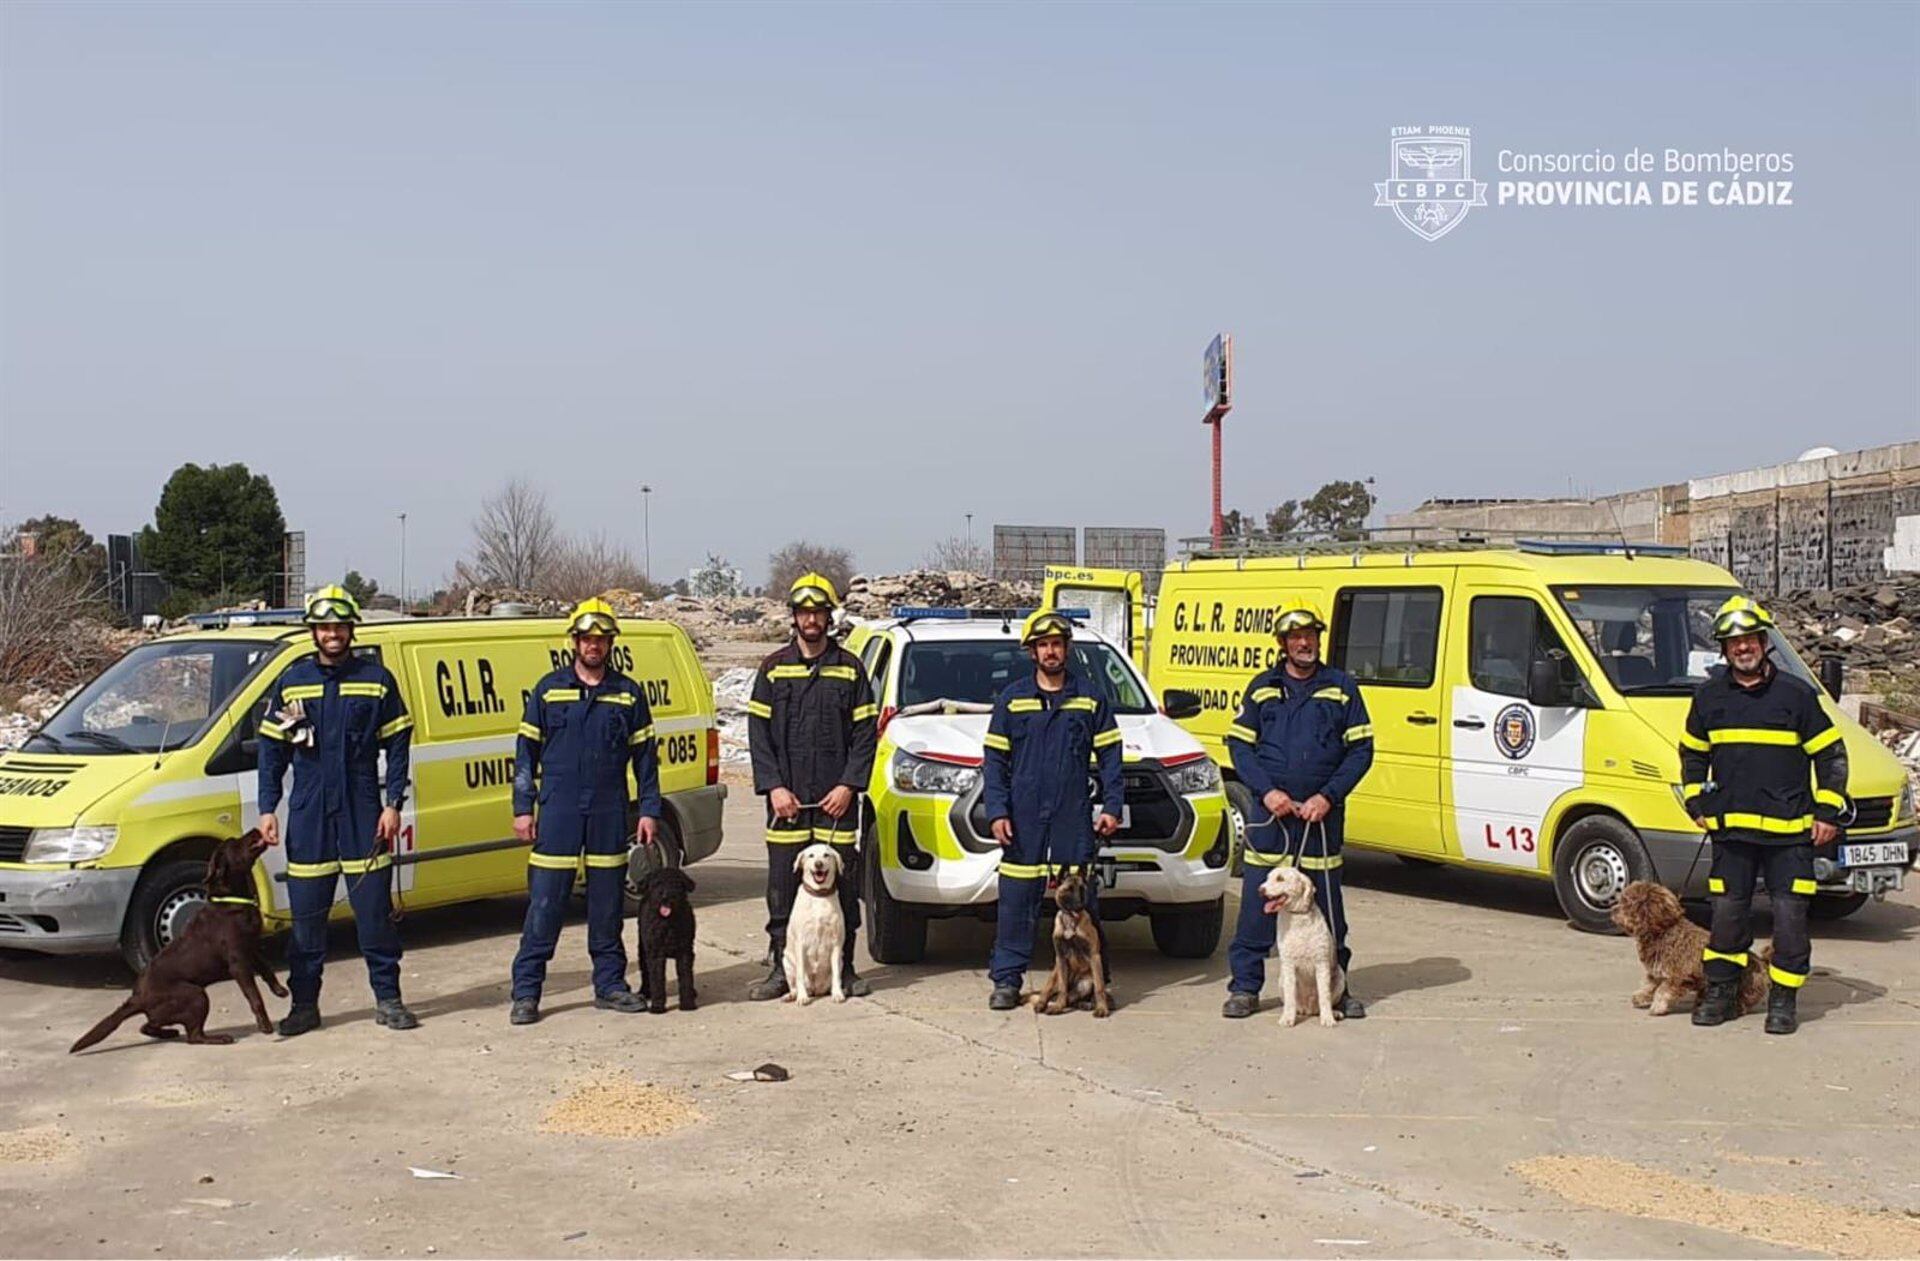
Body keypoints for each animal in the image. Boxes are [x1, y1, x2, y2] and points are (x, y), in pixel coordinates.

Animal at [637, 867, 698, 1013]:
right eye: (657, 883)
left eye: (675, 884)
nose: (665, 896)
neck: (668, 922)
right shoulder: (655, 955)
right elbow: (657, 980)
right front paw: (657, 1006)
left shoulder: (685, 953)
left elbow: (686, 977)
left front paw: (687, 1003)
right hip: (643, 949)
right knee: (645, 971)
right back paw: (645, 991)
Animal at [1605, 879, 1766, 1021]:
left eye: (1628, 902)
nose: (1612, 910)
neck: (1663, 933)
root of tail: (1761, 965)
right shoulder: (1657, 971)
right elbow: (1649, 984)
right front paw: (1641, 996)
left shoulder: (1680, 976)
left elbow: (1662, 990)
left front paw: (1657, 1006)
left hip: (1743, 985)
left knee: (1742, 1002)